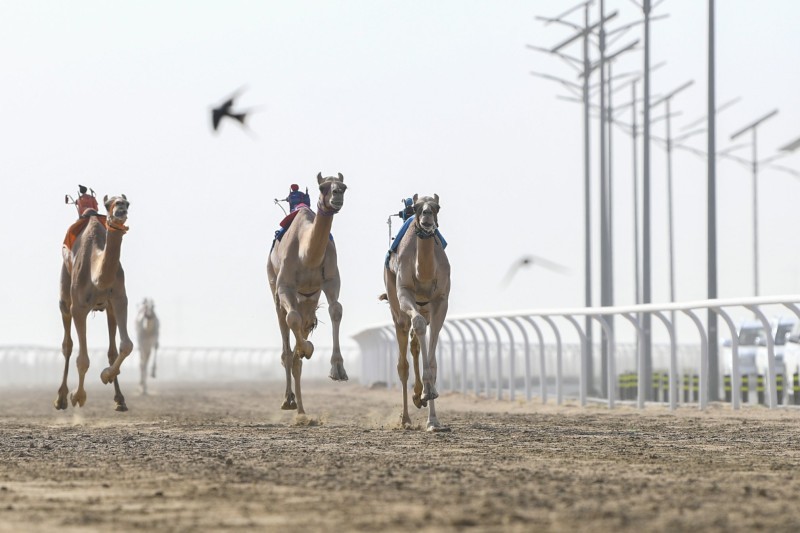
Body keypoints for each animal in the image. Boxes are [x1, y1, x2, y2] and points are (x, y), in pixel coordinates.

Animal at [56, 193, 132, 410]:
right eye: (108, 204)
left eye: (127, 202)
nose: (121, 208)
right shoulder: (79, 307)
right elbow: (82, 359)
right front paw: (77, 396)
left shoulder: (119, 298)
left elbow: (126, 345)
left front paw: (106, 374)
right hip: (65, 296)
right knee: (67, 345)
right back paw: (61, 398)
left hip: (108, 308)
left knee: (112, 350)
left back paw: (120, 399)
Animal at [268, 170, 348, 412]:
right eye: (323, 187)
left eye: (344, 186)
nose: (337, 195)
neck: (306, 255)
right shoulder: (285, 286)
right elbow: (291, 319)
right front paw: (310, 348)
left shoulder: (330, 280)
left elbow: (336, 310)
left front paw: (338, 370)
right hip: (275, 288)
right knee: (286, 335)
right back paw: (288, 400)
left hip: (309, 300)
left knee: (298, 341)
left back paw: (301, 409)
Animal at [382, 193, 450, 430]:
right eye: (419, 207)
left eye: (437, 206)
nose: (427, 216)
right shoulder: (404, 293)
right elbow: (418, 325)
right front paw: (425, 393)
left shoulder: (441, 300)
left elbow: (433, 356)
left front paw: (433, 418)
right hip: (396, 306)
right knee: (402, 362)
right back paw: (405, 418)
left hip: (425, 308)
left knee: (415, 343)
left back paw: (420, 399)